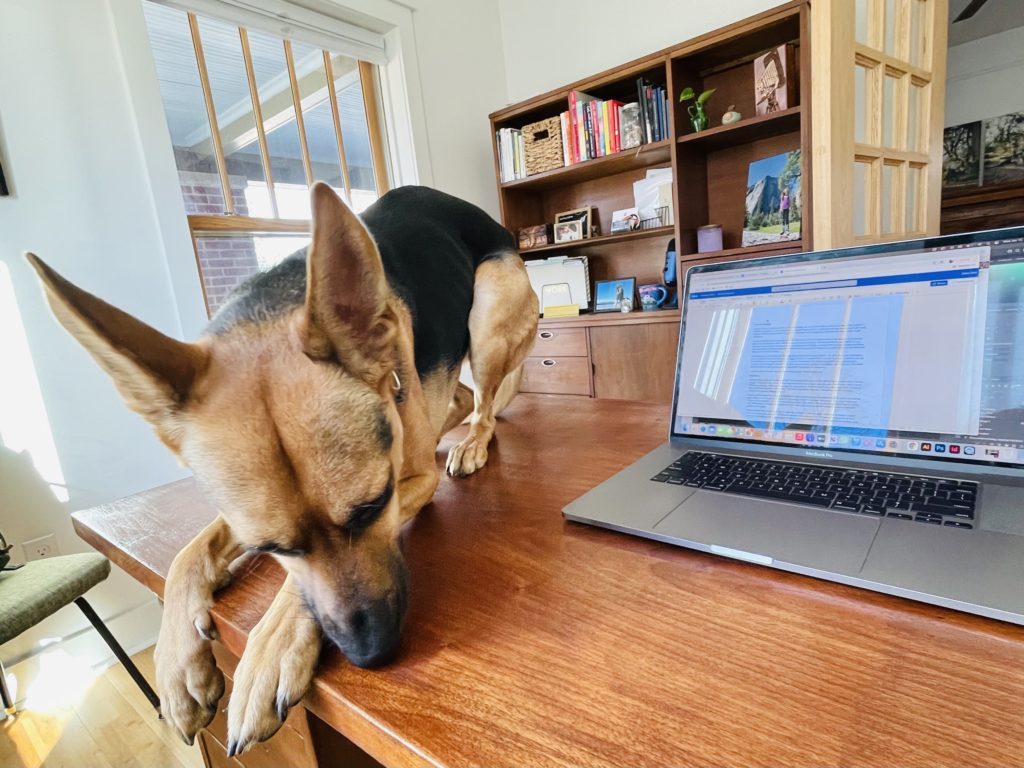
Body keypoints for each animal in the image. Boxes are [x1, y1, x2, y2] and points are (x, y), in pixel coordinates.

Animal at [28, 185, 540, 757]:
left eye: (374, 505)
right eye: (272, 547)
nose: (371, 653)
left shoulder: (411, 483)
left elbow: (295, 592)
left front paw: (270, 652)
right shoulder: (241, 514)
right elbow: (189, 554)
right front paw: (177, 665)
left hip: (490, 307)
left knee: (485, 403)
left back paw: (473, 442)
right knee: (464, 399)